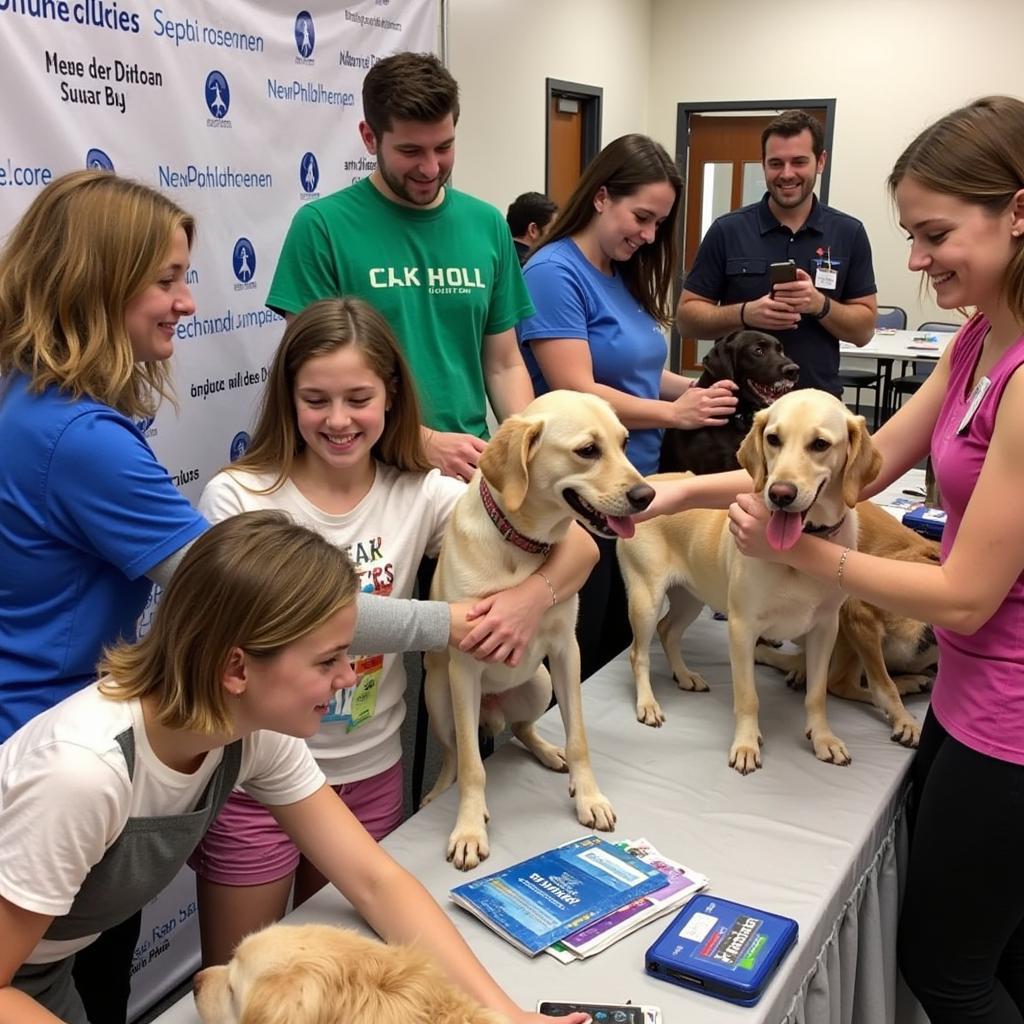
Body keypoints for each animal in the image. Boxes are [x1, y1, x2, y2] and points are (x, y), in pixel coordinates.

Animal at [419, 387, 651, 868]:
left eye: (624, 442)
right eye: (588, 450)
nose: (648, 494)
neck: (520, 545)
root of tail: (491, 712)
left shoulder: (566, 652)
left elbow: (579, 736)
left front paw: (589, 797)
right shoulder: (464, 668)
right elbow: (472, 766)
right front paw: (469, 828)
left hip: (539, 683)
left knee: (524, 729)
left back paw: (549, 753)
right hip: (441, 698)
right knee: (454, 754)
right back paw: (440, 791)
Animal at [614, 387, 880, 770]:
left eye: (820, 444)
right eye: (773, 438)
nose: (780, 494)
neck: (803, 548)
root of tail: (648, 485)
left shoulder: (825, 629)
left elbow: (817, 694)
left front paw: (823, 738)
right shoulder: (742, 628)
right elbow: (748, 696)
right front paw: (745, 744)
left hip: (690, 598)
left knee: (668, 631)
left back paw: (684, 675)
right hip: (645, 597)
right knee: (639, 653)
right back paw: (647, 703)